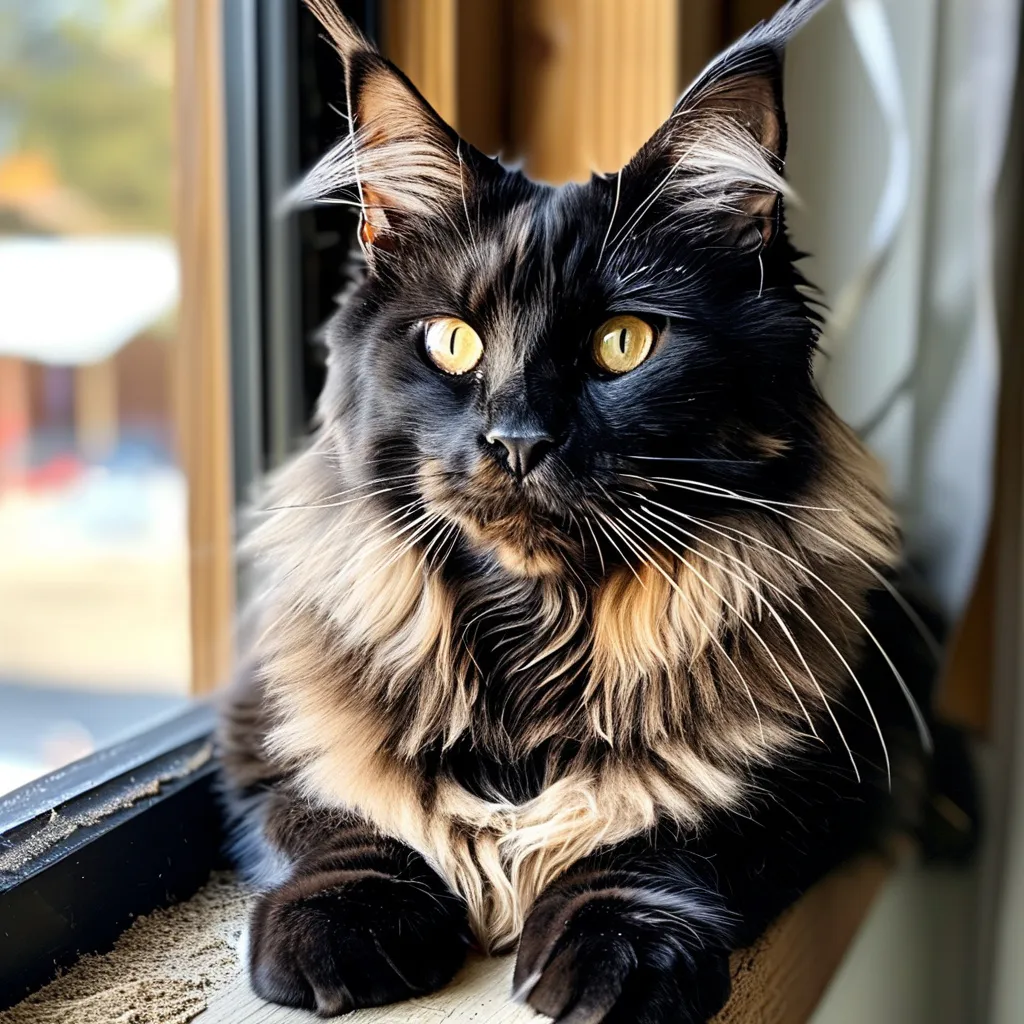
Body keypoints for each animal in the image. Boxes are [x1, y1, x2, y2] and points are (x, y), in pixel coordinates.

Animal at [218, 4, 966, 1019]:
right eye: (453, 342)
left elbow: (668, 823)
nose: (517, 439)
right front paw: (345, 924)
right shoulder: (266, 714)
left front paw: (614, 949)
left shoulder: (823, 761)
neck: (536, 627)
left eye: (623, 343)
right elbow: (337, 802)